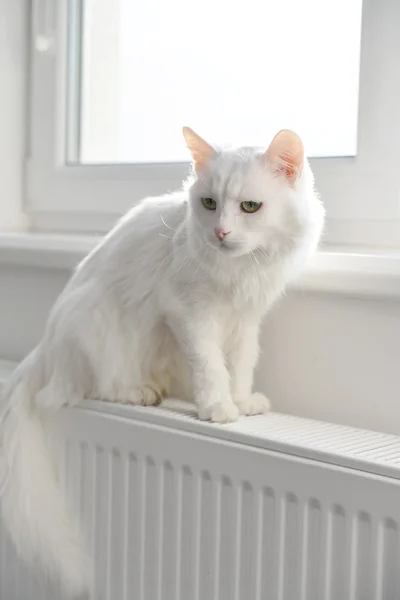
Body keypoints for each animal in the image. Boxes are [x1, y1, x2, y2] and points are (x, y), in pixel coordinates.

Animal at [0, 126, 324, 596]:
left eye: (250, 207)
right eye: (209, 204)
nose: (221, 232)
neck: (241, 271)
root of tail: (43, 347)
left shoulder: (246, 322)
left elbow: (241, 365)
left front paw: (243, 401)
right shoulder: (191, 314)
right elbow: (212, 367)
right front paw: (218, 408)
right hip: (97, 323)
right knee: (99, 386)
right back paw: (142, 393)